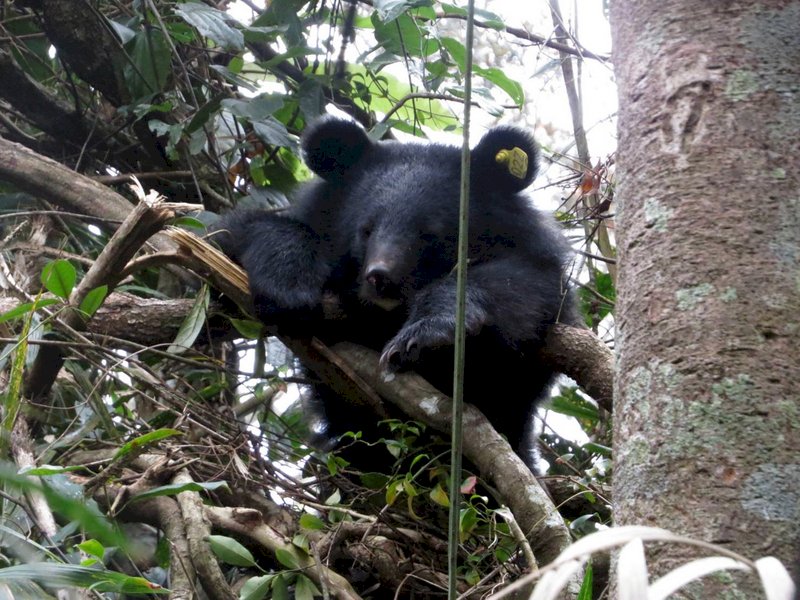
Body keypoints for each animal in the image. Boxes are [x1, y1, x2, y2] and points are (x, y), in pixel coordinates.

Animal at [215, 116, 575, 470]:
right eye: (366, 230)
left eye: (430, 235)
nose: (380, 278)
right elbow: (235, 234)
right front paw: (289, 291)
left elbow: (525, 287)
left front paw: (423, 337)